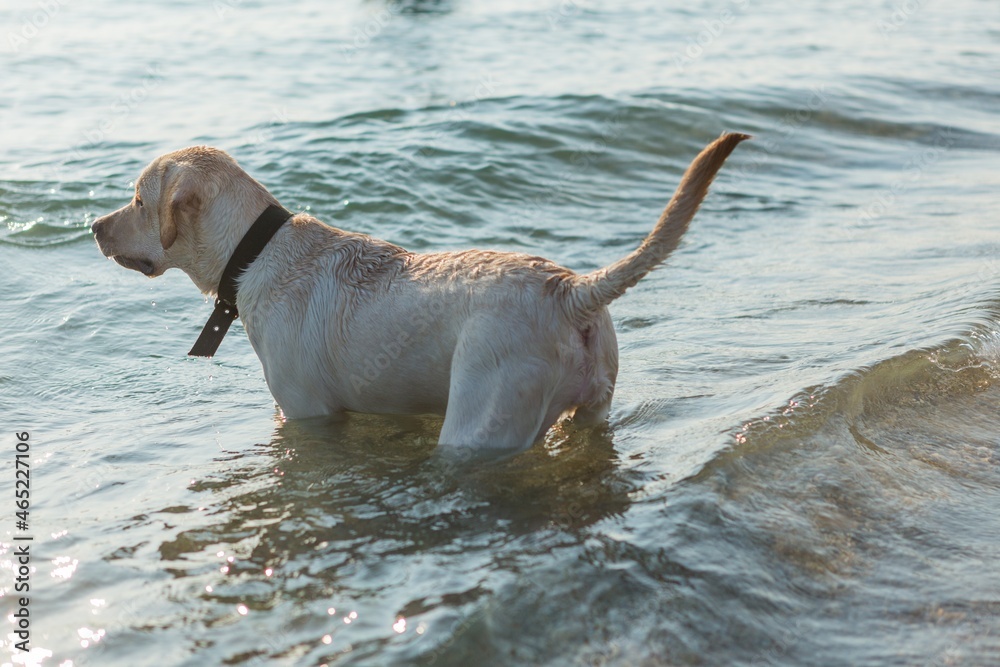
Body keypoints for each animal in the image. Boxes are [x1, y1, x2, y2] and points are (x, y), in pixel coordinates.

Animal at [94, 132, 748, 452]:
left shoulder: (306, 413)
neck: (254, 249)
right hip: (593, 410)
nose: (94, 226)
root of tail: (569, 289)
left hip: (480, 423)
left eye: (137, 200)